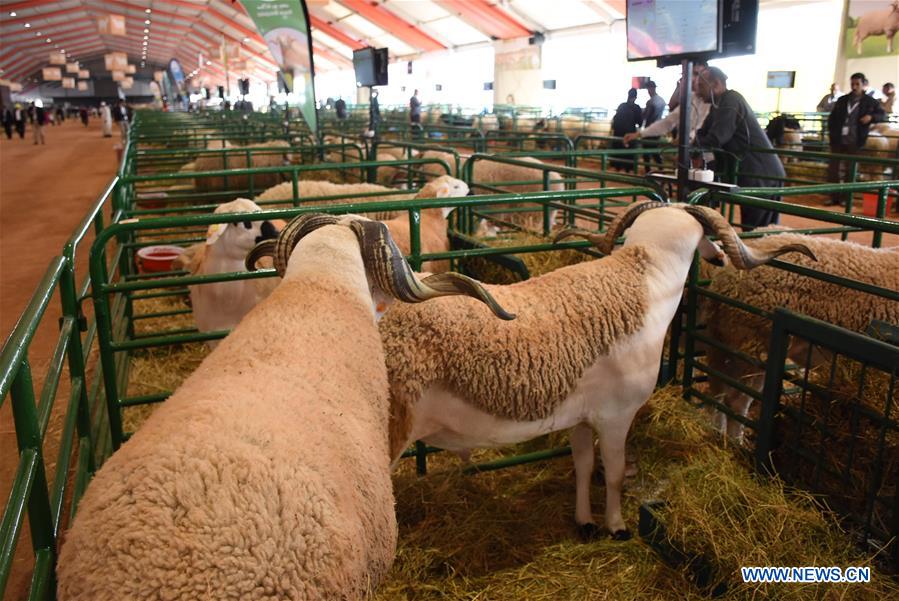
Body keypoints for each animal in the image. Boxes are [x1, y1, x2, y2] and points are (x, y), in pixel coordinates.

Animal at [378, 202, 808, 540]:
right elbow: (613, 472)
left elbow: (583, 467)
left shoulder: (580, 417)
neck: (641, 283)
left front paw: (584, 522)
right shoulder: (617, 415)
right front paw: (616, 527)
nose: (719, 256)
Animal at [704, 233, 899, 440]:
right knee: (736, 401)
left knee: (718, 391)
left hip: (726, 342)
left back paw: (718, 433)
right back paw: (735, 441)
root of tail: (725, 277)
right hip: (751, 348)